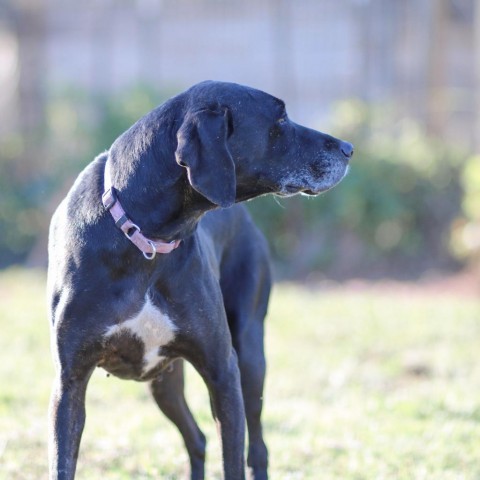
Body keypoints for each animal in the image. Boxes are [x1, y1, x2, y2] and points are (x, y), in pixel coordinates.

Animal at [47, 80, 352, 478]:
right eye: (281, 118)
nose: (348, 148)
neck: (146, 238)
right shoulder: (69, 383)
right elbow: (62, 462)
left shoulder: (223, 371)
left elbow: (234, 459)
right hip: (164, 382)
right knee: (197, 438)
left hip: (250, 357)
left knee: (257, 447)